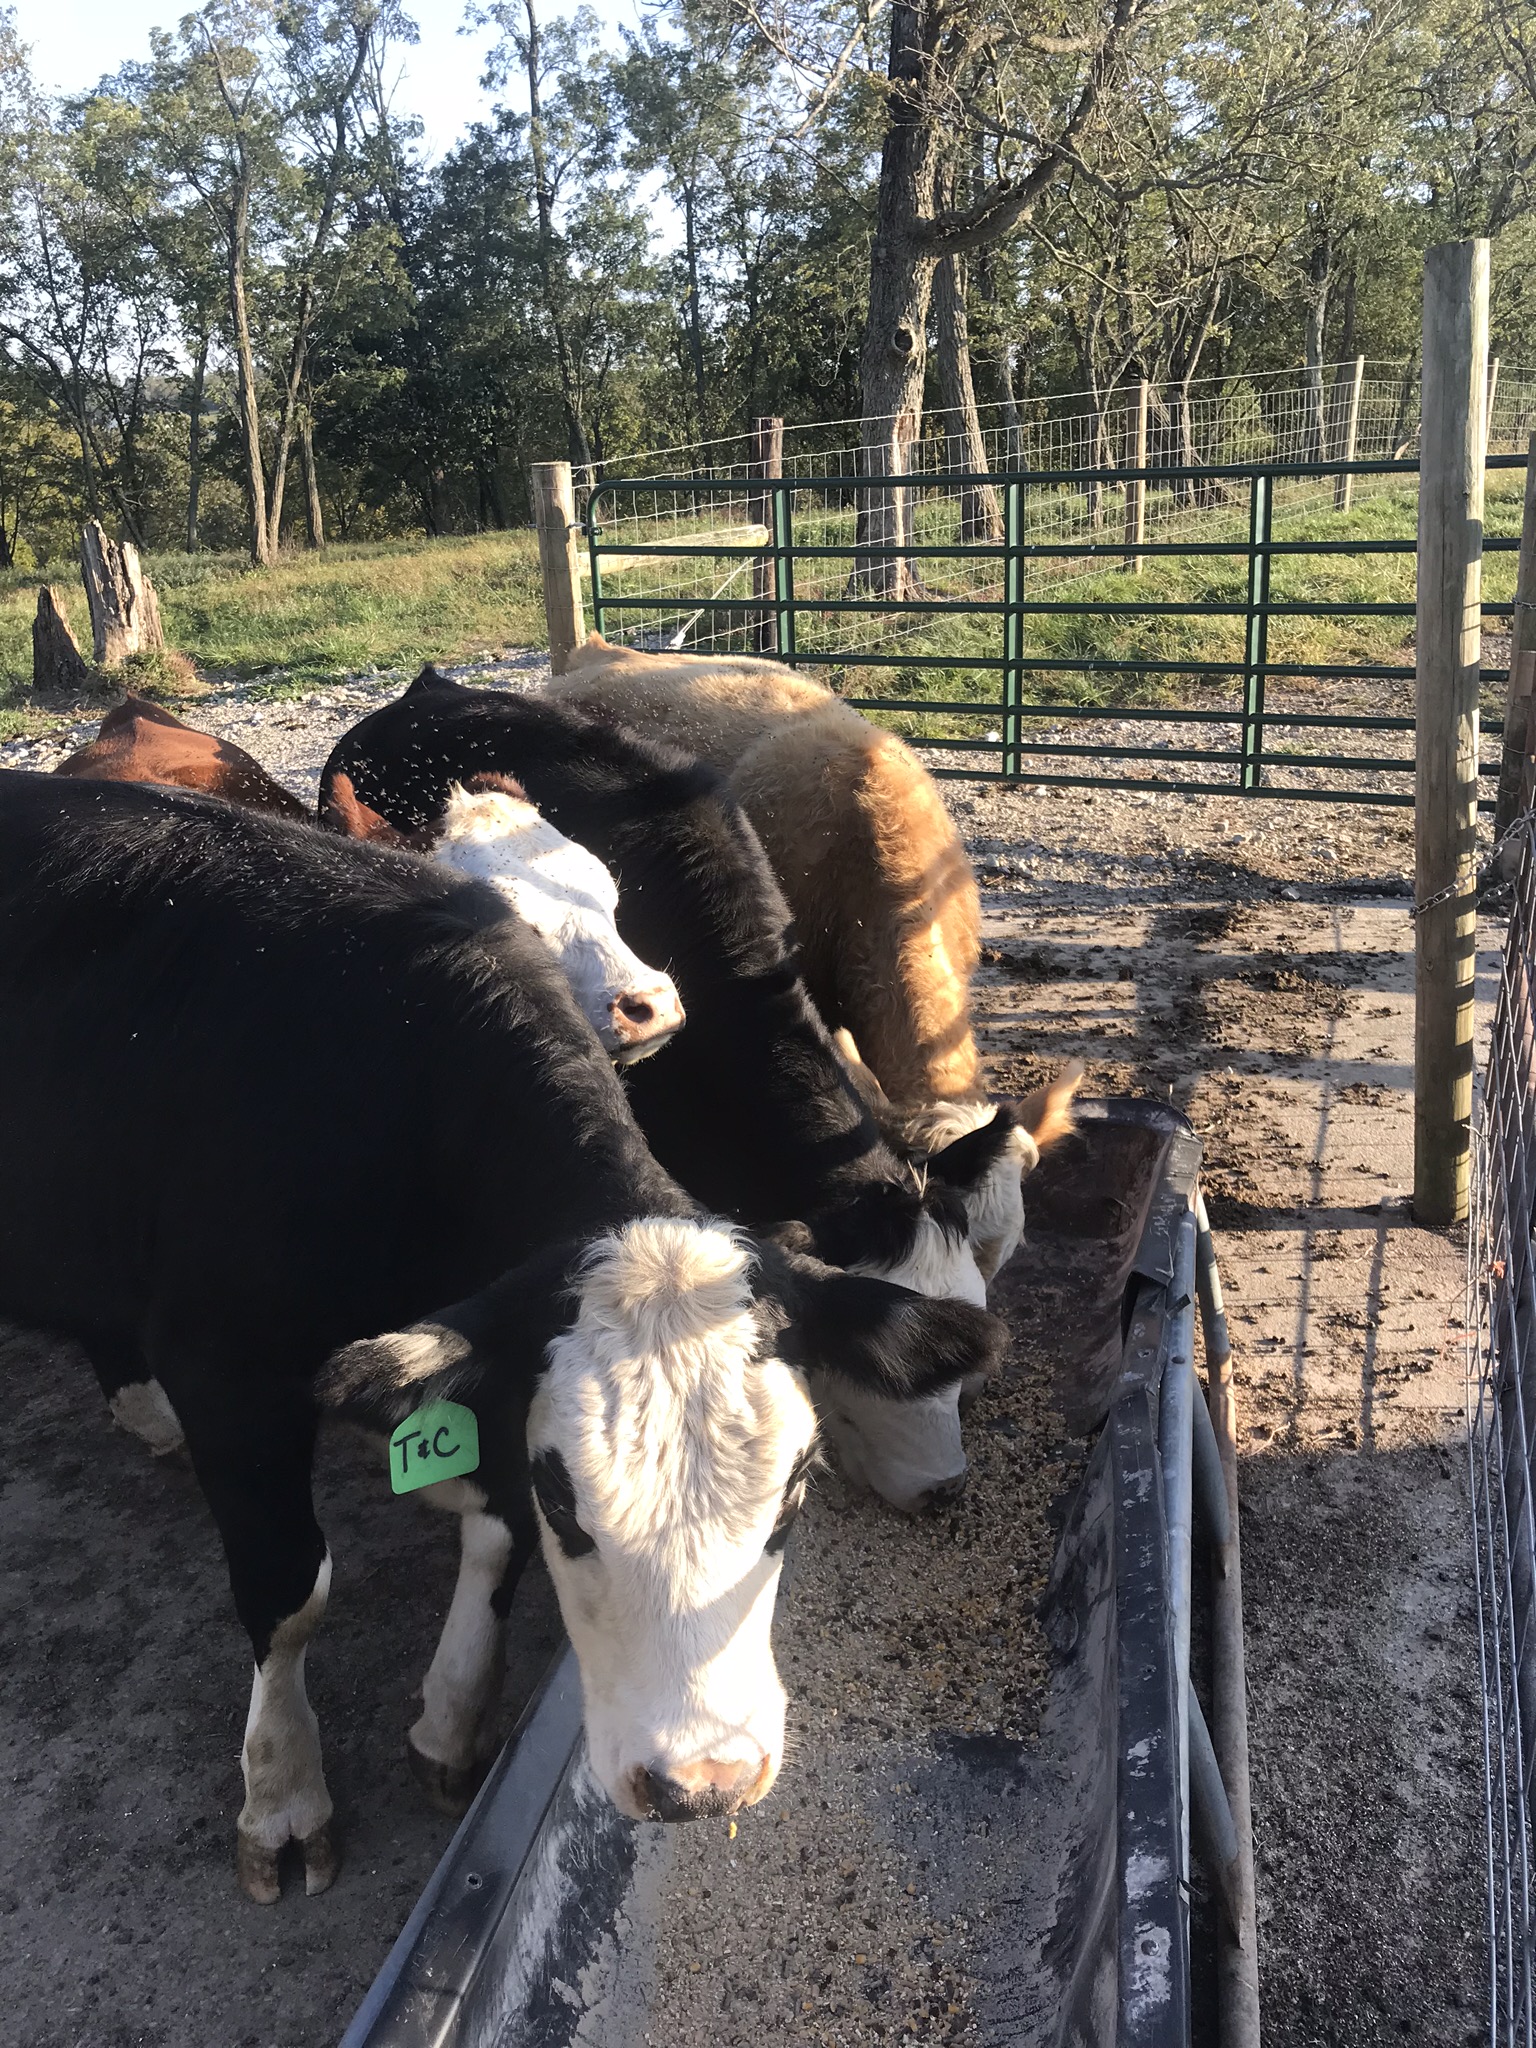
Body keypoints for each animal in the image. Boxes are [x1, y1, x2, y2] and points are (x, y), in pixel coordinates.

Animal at [0, 771, 1005, 1899]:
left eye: (793, 1490)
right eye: (570, 1502)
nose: (701, 1781)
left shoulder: (486, 1347)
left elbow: (489, 1532)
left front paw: (449, 1722)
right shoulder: (228, 1369)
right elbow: (292, 1590)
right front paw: (285, 1800)